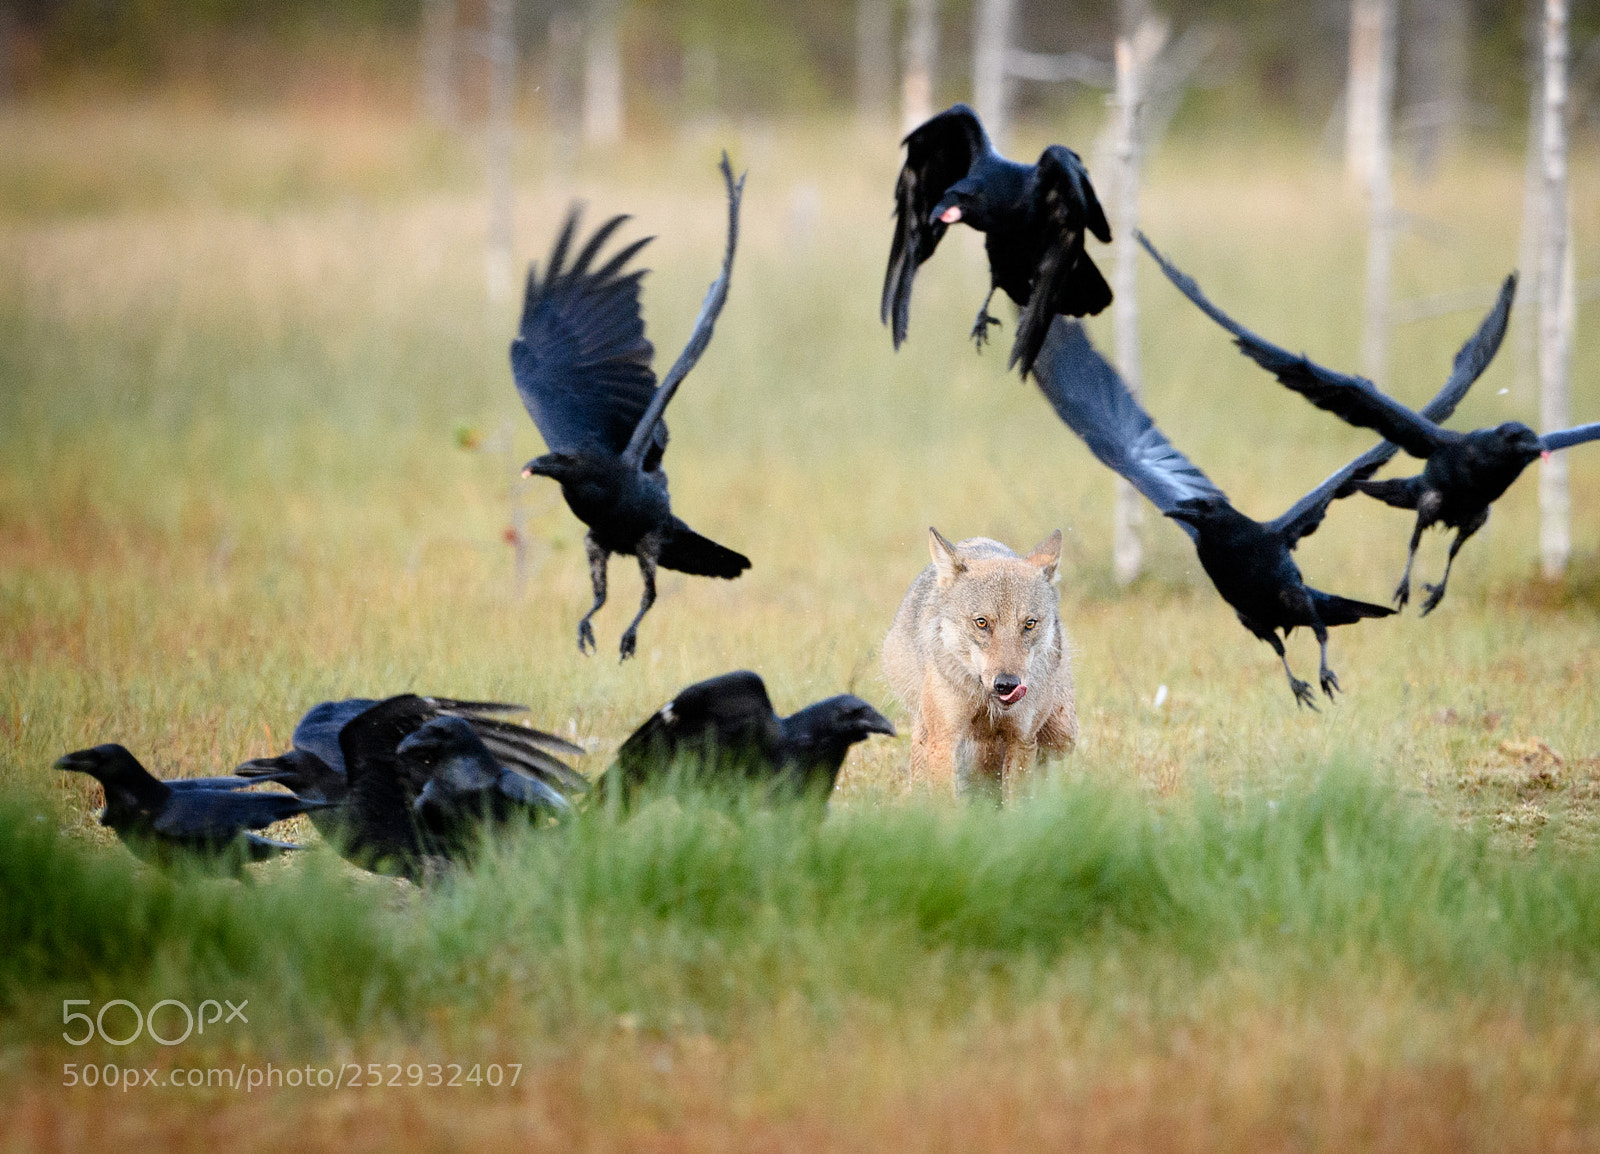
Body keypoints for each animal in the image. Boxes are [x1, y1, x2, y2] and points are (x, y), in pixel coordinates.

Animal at [881, 528, 1076, 800]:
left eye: (1029, 624)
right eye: (982, 622)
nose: (1007, 684)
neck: (987, 703)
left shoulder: (1023, 740)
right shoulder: (944, 741)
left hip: (1063, 734)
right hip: (925, 731)